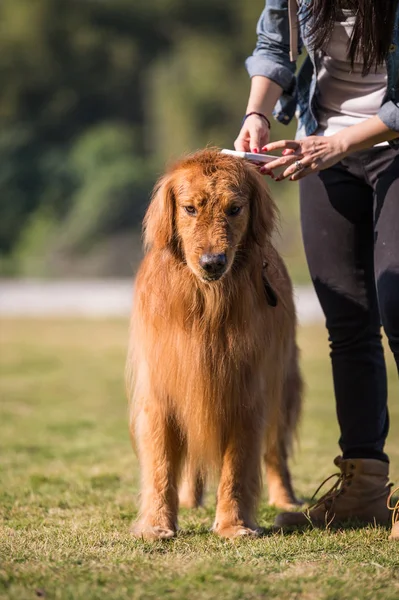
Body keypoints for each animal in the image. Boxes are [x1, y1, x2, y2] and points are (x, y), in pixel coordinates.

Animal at [127, 149, 304, 540]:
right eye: (190, 208)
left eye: (234, 209)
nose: (212, 262)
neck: (207, 304)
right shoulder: (164, 389)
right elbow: (161, 463)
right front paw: (157, 523)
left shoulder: (246, 390)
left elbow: (237, 465)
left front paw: (233, 524)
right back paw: (189, 498)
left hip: (281, 384)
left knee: (275, 451)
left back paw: (286, 500)